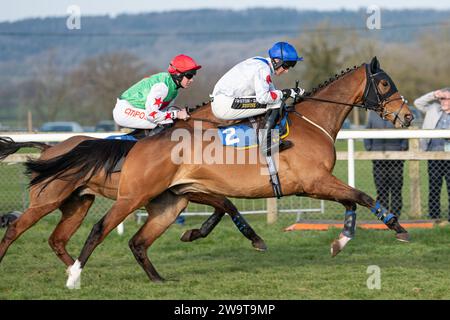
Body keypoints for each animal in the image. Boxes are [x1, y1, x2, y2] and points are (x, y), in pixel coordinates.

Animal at [0, 136, 268, 270]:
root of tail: (49, 147)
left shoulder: (187, 189)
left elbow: (224, 205)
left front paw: (194, 233)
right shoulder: (182, 189)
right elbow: (224, 203)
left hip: (78, 205)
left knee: (57, 239)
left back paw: (76, 269)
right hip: (47, 200)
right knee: (15, 227)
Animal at [55, 56, 412, 286]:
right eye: (384, 83)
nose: (407, 117)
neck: (312, 122)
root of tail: (140, 144)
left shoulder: (313, 184)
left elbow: (352, 201)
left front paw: (341, 241)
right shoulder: (315, 181)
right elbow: (363, 196)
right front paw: (397, 227)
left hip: (171, 201)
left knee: (138, 242)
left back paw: (157, 278)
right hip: (133, 195)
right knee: (99, 228)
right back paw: (74, 276)